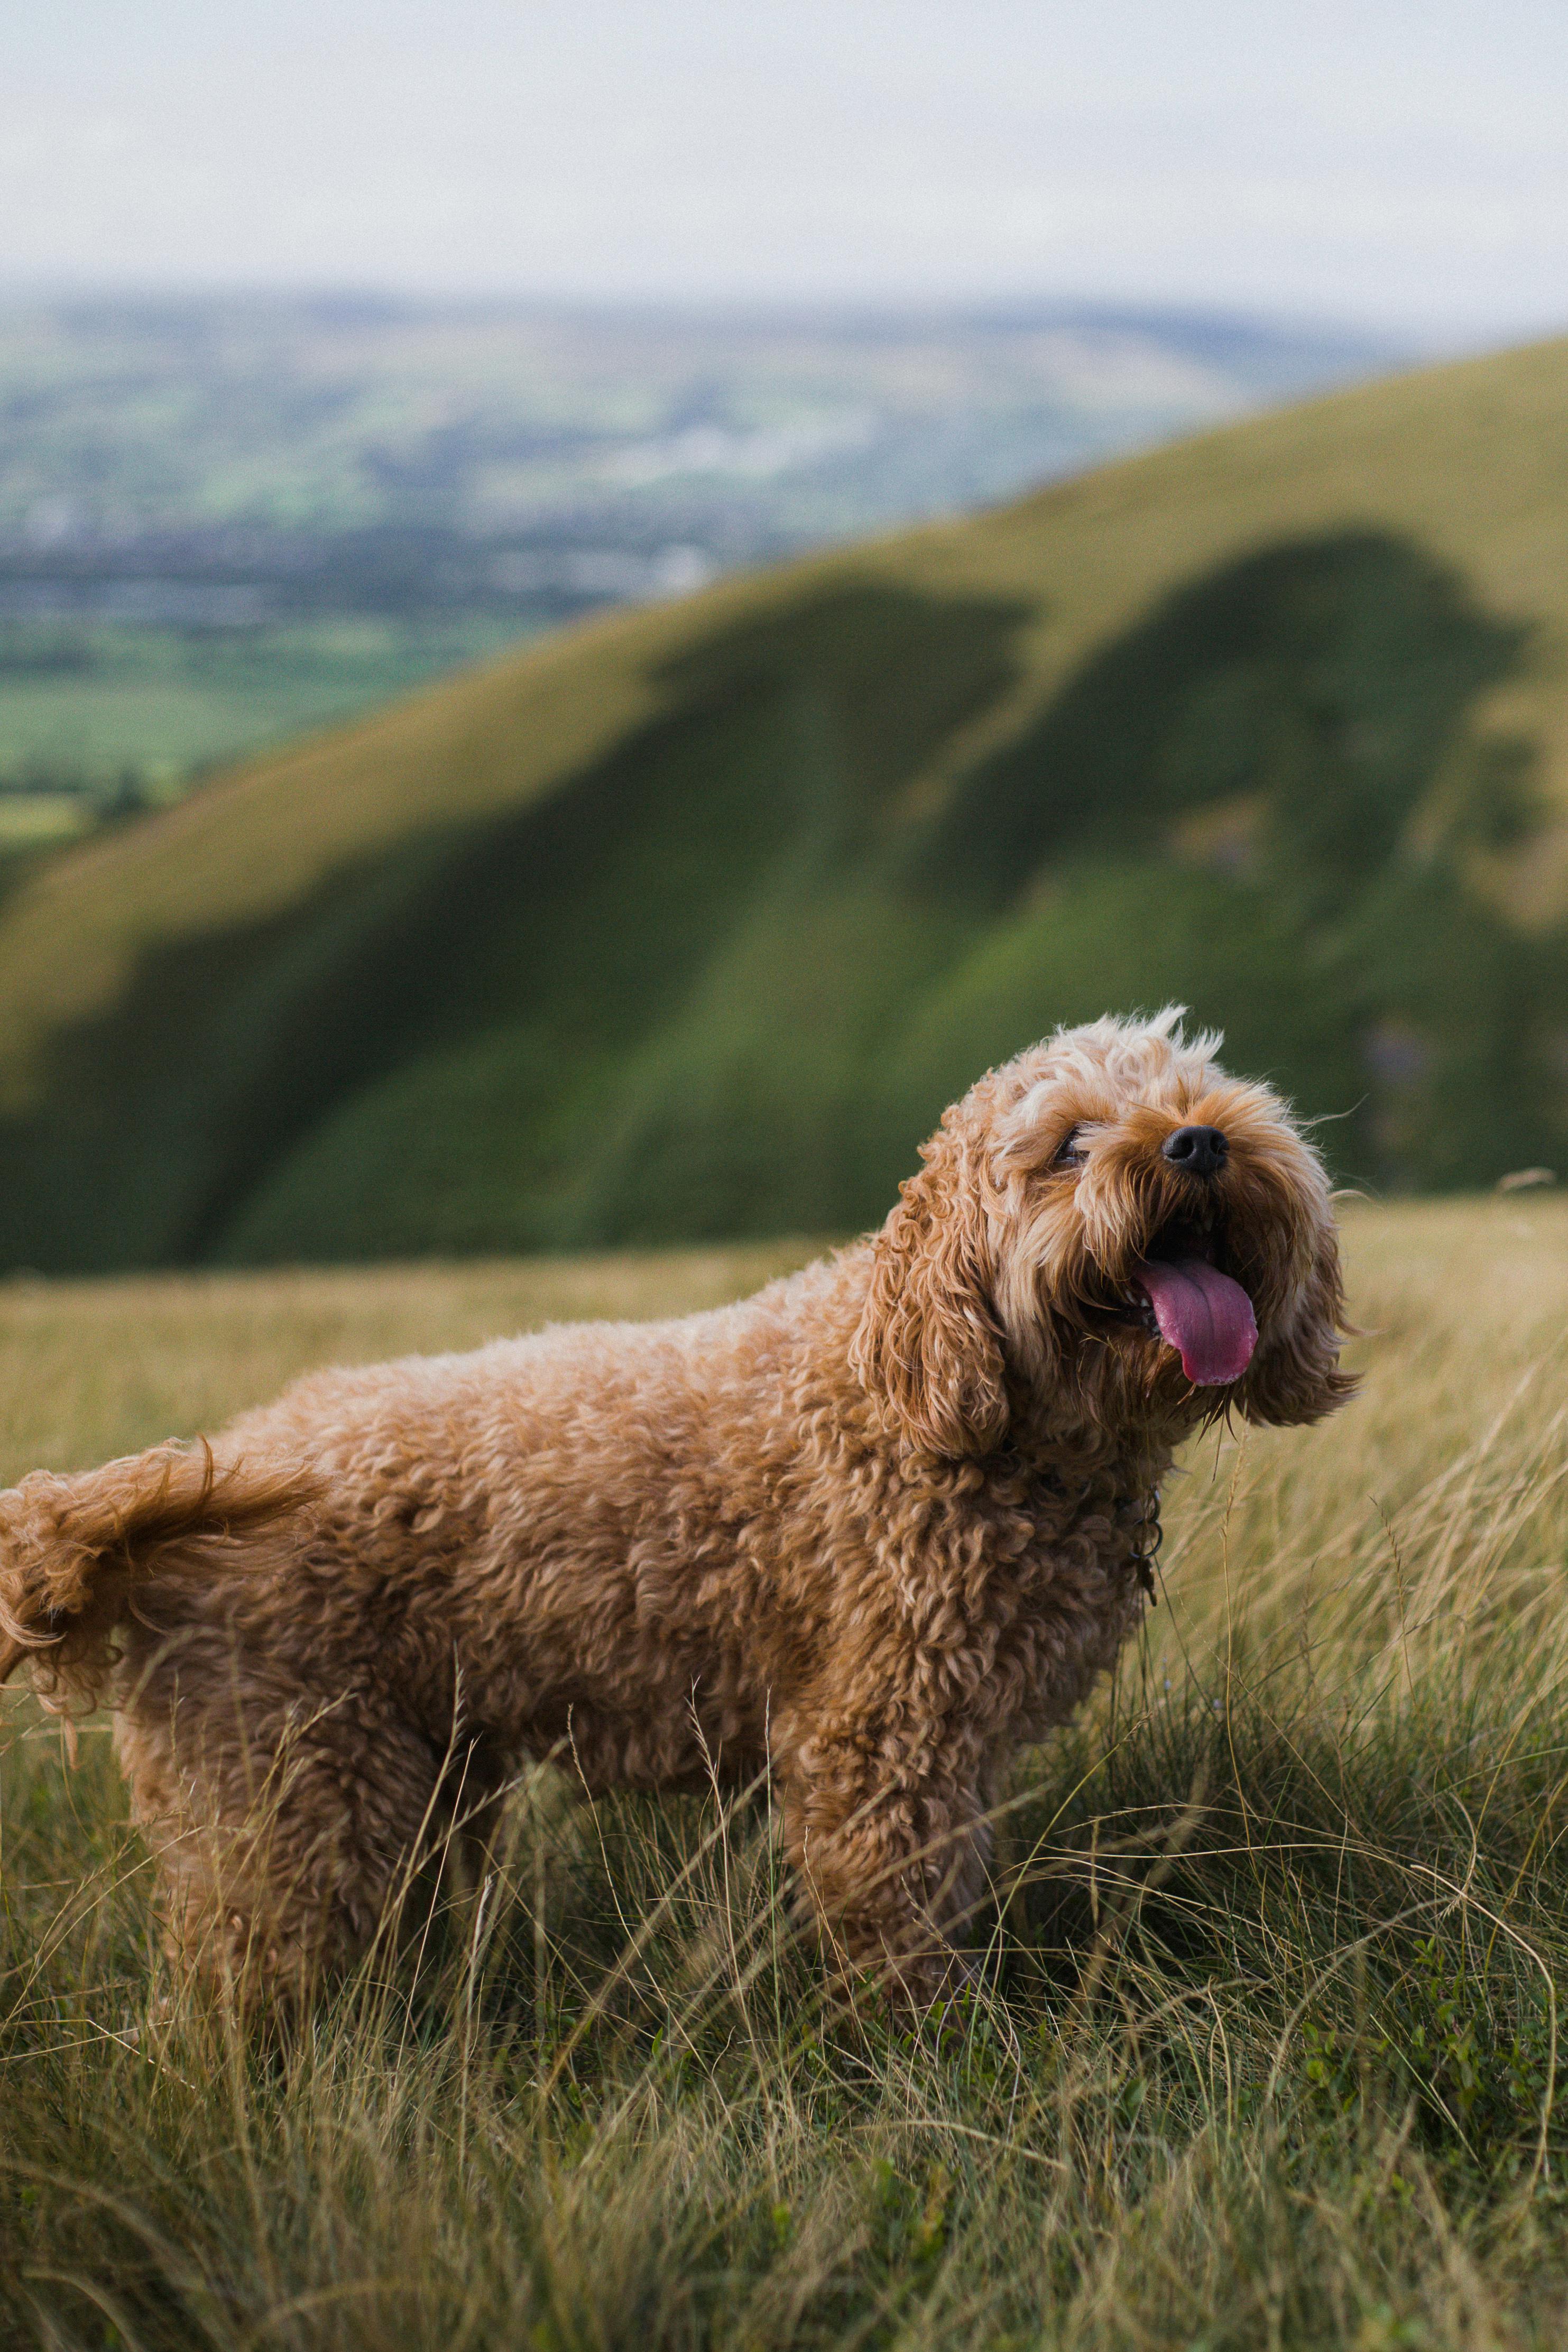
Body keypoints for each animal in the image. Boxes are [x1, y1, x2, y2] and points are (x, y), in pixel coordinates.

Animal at [0, 1011, 1354, 2004]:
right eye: (1070, 1144)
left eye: (1198, 1096)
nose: (1195, 1145)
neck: (935, 1398)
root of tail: (157, 1492)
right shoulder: (881, 1747)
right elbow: (900, 1939)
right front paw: (943, 2050)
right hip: (283, 1800)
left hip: (402, 1778)